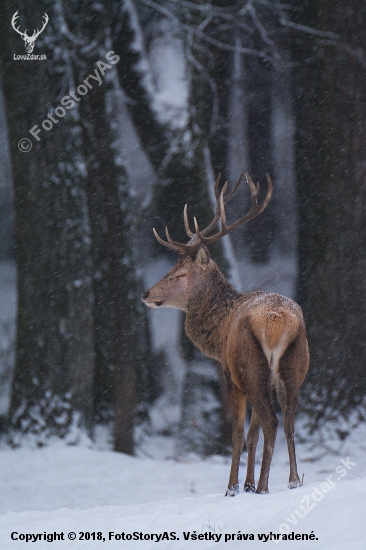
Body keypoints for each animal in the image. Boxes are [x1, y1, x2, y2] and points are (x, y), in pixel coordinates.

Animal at [141, 174, 308, 496]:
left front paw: (234, 487)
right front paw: (247, 484)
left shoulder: (232, 376)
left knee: (272, 421)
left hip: (252, 367)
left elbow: (239, 434)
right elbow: (253, 434)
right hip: (293, 367)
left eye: (180, 274)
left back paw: (264, 487)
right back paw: (293, 480)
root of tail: (278, 321)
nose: (146, 293)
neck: (218, 337)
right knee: (289, 420)